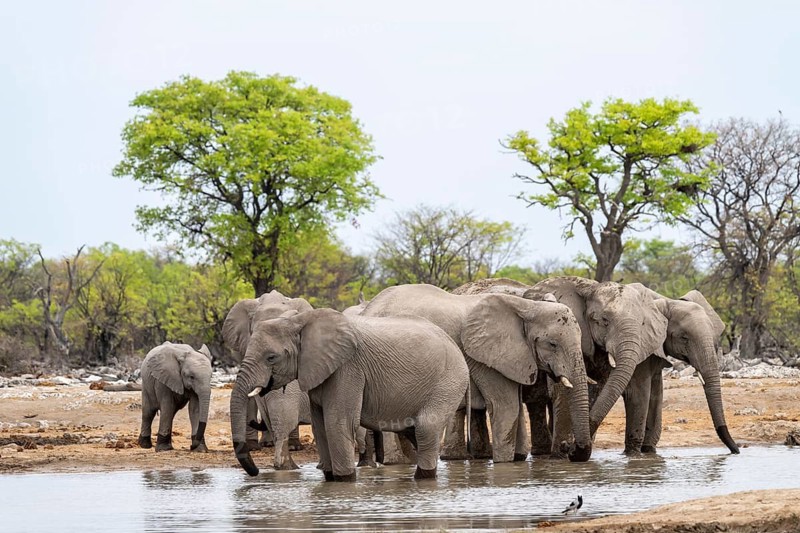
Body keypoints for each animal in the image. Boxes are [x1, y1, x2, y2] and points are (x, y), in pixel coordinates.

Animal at [230, 308, 470, 481]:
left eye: (271, 357)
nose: (255, 472)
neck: (299, 321)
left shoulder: (348, 368)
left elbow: (338, 423)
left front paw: (344, 480)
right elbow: (320, 426)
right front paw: (329, 478)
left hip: (450, 380)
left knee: (426, 427)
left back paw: (424, 478)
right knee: (414, 431)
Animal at [361, 284, 592, 463]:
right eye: (552, 344)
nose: (568, 448)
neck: (526, 306)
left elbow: (516, 406)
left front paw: (517, 459)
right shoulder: (486, 359)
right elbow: (506, 406)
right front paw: (504, 463)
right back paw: (396, 462)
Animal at [623, 284, 739, 454]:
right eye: (684, 338)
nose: (737, 450)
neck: (667, 302)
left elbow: (656, 393)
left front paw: (649, 451)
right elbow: (640, 392)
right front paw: (633, 454)